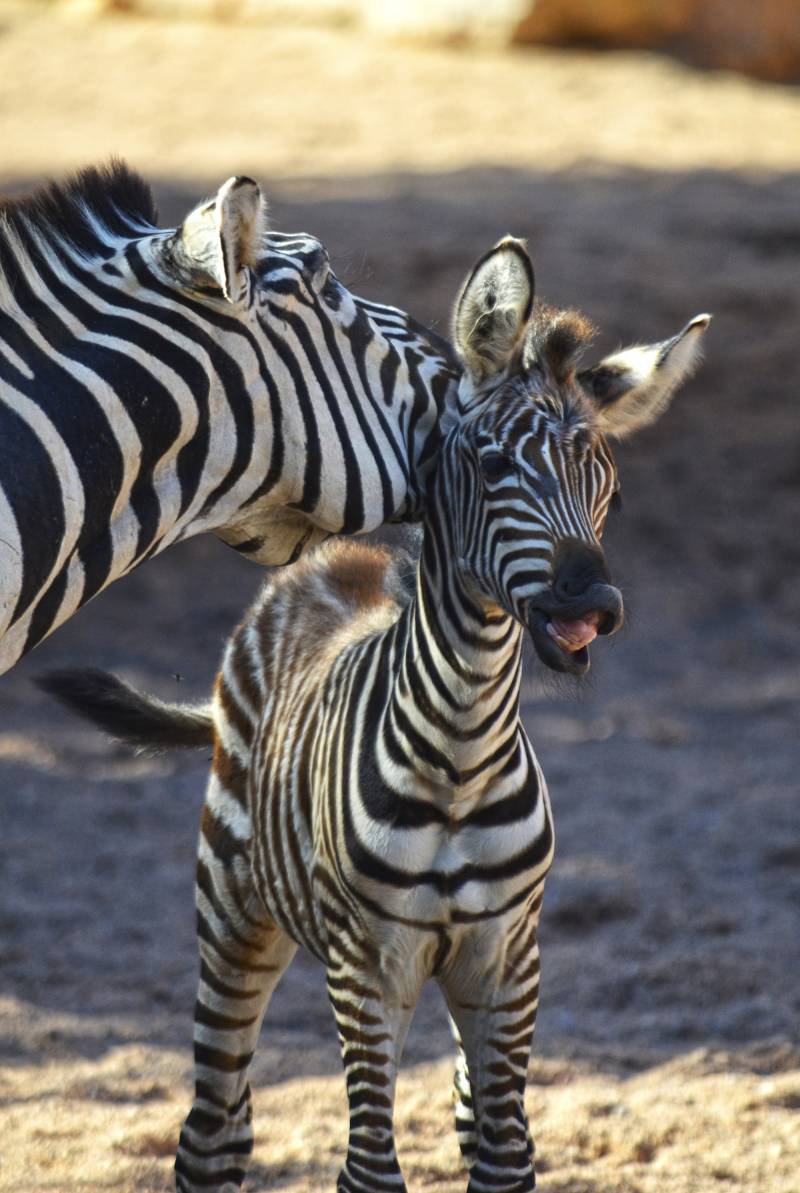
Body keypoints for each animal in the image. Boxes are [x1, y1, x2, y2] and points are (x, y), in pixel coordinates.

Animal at [42, 237, 715, 1188]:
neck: (462, 755)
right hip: (233, 919)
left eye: (610, 493)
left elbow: (504, 1158)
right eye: (492, 466)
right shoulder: (369, 968)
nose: (594, 602)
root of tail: (337, 559)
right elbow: (368, 1167)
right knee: (214, 1130)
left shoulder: (507, 962)